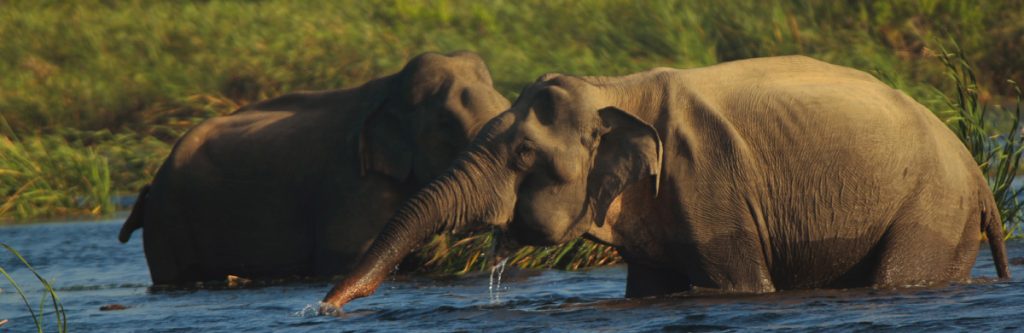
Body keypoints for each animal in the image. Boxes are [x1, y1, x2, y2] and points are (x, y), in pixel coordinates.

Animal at [321, 55, 1007, 309]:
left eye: (522, 154)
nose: (325, 308)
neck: (616, 89)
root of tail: (980, 179)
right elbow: (649, 286)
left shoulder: (711, 181)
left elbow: (741, 284)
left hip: (932, 210)